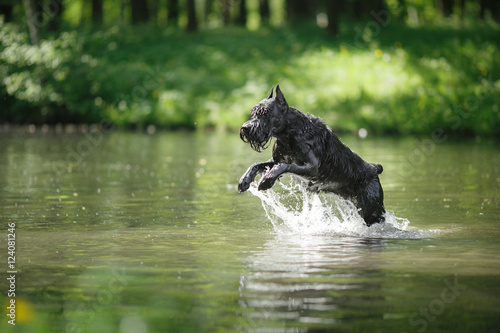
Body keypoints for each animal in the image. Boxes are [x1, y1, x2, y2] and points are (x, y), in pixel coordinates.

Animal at [238, 85, 386, 226]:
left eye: (266, 113)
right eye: (253, 112)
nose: (245, 128)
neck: (289, 134)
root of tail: (374, 168)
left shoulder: (312, 168)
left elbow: (285, 166)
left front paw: (267, 180)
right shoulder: (276, 160)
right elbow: (257, 165)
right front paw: (244, 180)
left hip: (372, 211)